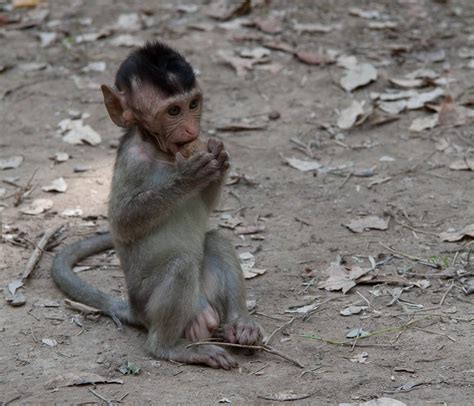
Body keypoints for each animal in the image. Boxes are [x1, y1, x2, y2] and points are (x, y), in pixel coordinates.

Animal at [54, 41, 266, 368]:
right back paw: (170, 348)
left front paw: (219, 156)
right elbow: (123, 222)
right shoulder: (133, 161)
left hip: (203, 295)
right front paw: (188, 176)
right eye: (173, 111)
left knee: (216, 240)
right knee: (180, 266)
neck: (161, 151)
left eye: (193, 105)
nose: (192, 132)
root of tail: (134, 307)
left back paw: (239, 323)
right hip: (151, 301)